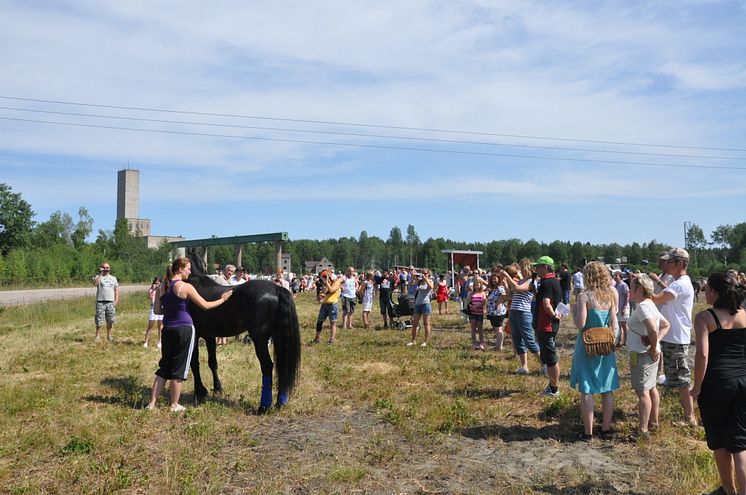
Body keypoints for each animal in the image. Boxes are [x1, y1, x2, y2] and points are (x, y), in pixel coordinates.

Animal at [185, 260, 300, 414]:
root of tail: (276, 288)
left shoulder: (196, 335)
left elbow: (194, 363)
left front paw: (199, 392)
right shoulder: (210, 337)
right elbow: (212, 362)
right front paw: (217, 388)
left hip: (259, 339)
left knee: (267, 365)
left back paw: (263, 407)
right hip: (279, 337)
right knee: (283, 365)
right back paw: (280, 402)